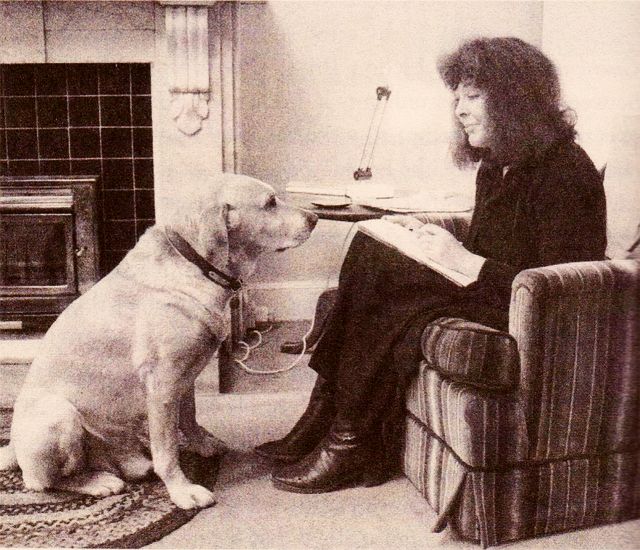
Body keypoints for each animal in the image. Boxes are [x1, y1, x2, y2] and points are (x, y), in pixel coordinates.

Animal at [0, 175, 318, 512]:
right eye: (270, 203)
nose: (315, 218)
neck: (196, 265)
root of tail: (13, 447)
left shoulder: (186, 376)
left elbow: (189, 418)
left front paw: (203, 445)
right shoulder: (163, 383)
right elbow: (167, 450)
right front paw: (182, 490)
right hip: (58, 416)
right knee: (44, 481)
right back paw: (98, 482)